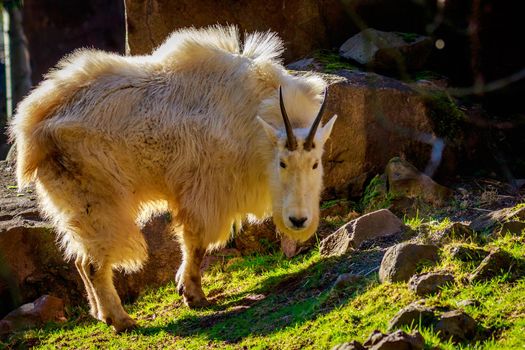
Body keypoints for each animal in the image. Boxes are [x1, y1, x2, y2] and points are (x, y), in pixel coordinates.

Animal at [9, 26, 336, 332]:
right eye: (282, 162)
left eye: (315, 163)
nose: (298, 220)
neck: (252, 118)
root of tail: (33, 127)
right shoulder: (205, 192)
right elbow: (196, 243)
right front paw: (194, 294)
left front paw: (185, 287)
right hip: (97, 201)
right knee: (93, 263)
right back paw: (121, 319)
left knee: (80, 259)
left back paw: (100, 314)